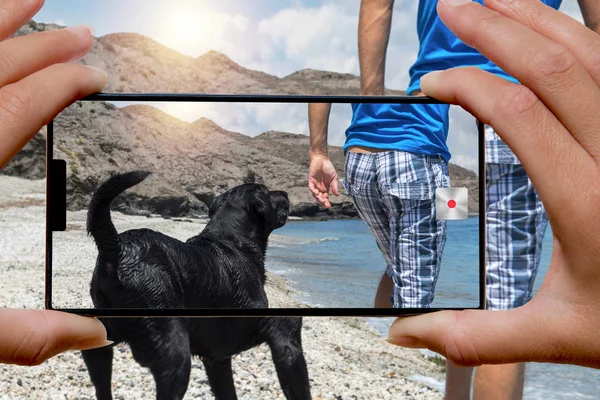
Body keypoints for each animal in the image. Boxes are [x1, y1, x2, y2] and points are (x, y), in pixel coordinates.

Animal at [82, 171, 312, 400]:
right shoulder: (279, 336)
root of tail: (118, 250)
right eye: (268, 192)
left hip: (101, 345)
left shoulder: (217, 357)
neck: (234, 242)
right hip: (174, 352)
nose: (285, 193)